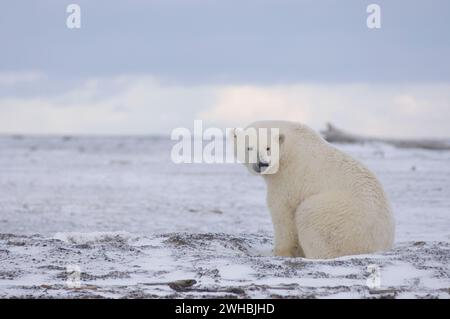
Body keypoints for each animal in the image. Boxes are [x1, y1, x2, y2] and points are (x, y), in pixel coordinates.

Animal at [234, 120, 396, 260]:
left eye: (268, 148)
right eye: (249, 148)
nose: (262, 163)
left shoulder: (288, 177)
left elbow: (282, 212)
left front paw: (281, 252)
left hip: (339, 217)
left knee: (308, 215)